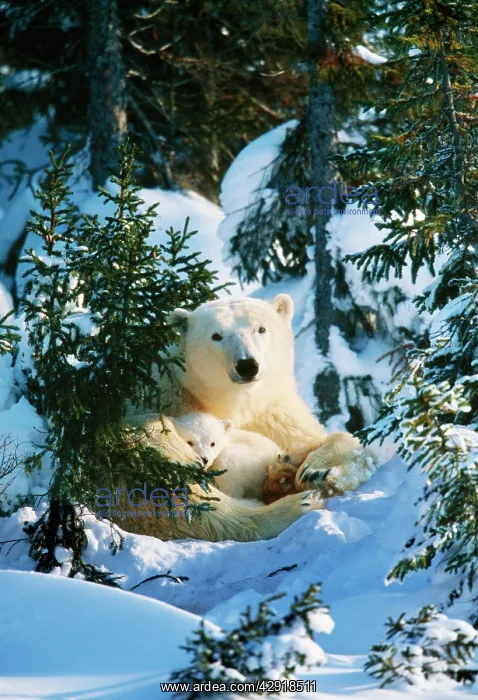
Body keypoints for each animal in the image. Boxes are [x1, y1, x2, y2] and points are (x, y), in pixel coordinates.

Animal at [121, 293, 378, 542]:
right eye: (216, 335)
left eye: (261, 328)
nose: (247, 365)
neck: (234, 403)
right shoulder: (159, 397)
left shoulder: (272, 414)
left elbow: (316, 440)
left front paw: (319, 469)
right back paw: (293, 506)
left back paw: (281, 476)